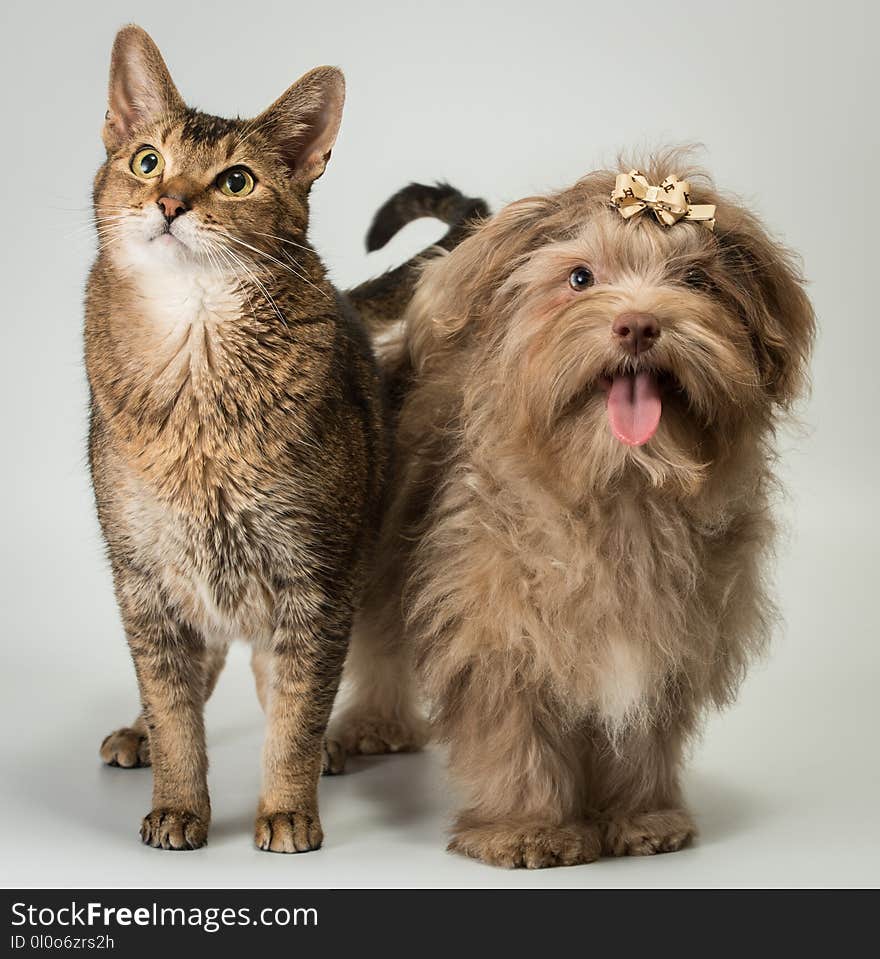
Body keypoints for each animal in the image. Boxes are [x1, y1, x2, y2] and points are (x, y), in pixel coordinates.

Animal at [88, 22, 482, 852]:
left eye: (236, 181)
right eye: (147, 161)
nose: (169, 202)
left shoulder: (317, 580)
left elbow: (297, 713)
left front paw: (287, 809)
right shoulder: (142, 577)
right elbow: (174, 708)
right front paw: (177, 803)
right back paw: (136, 734)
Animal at [334, 152, 816, 872]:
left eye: (696, 279)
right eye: (581, 277)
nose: (639, 324)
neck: (622, 486)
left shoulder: (662, 642)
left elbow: (640, 738)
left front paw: (642, 816)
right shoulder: (500, 637)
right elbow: (516, 740)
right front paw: (528, 828)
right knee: (379, 640)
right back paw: (375, 721)